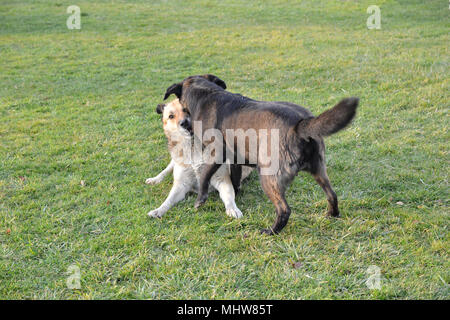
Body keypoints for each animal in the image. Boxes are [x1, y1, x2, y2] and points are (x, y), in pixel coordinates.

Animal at [164, 75, 358, 235]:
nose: (184, 125)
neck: (207, 93)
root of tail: (300, 124)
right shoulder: (236, 157)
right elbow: (234, 179)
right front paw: (235, 194)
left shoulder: (215, 154)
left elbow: (204, 176)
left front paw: (200, 200)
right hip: (319, 170)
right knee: (332, 194)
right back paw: (332, 215)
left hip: (268, 177)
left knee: (284, 209)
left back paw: (271, 231)